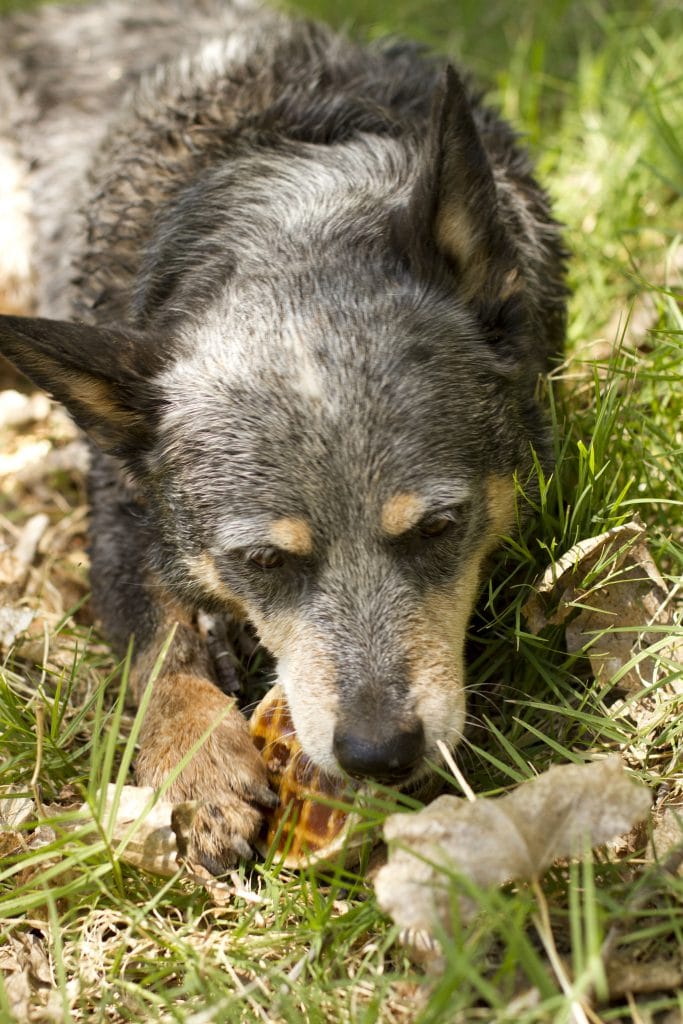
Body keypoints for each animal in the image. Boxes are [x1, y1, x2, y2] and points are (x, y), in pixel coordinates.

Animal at [0, 0, 565, 872]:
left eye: (439, 527)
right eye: (263, 561)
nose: (378, 752)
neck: (293, 222)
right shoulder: (122, 506)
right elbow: (154, 644)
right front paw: (198, 763)